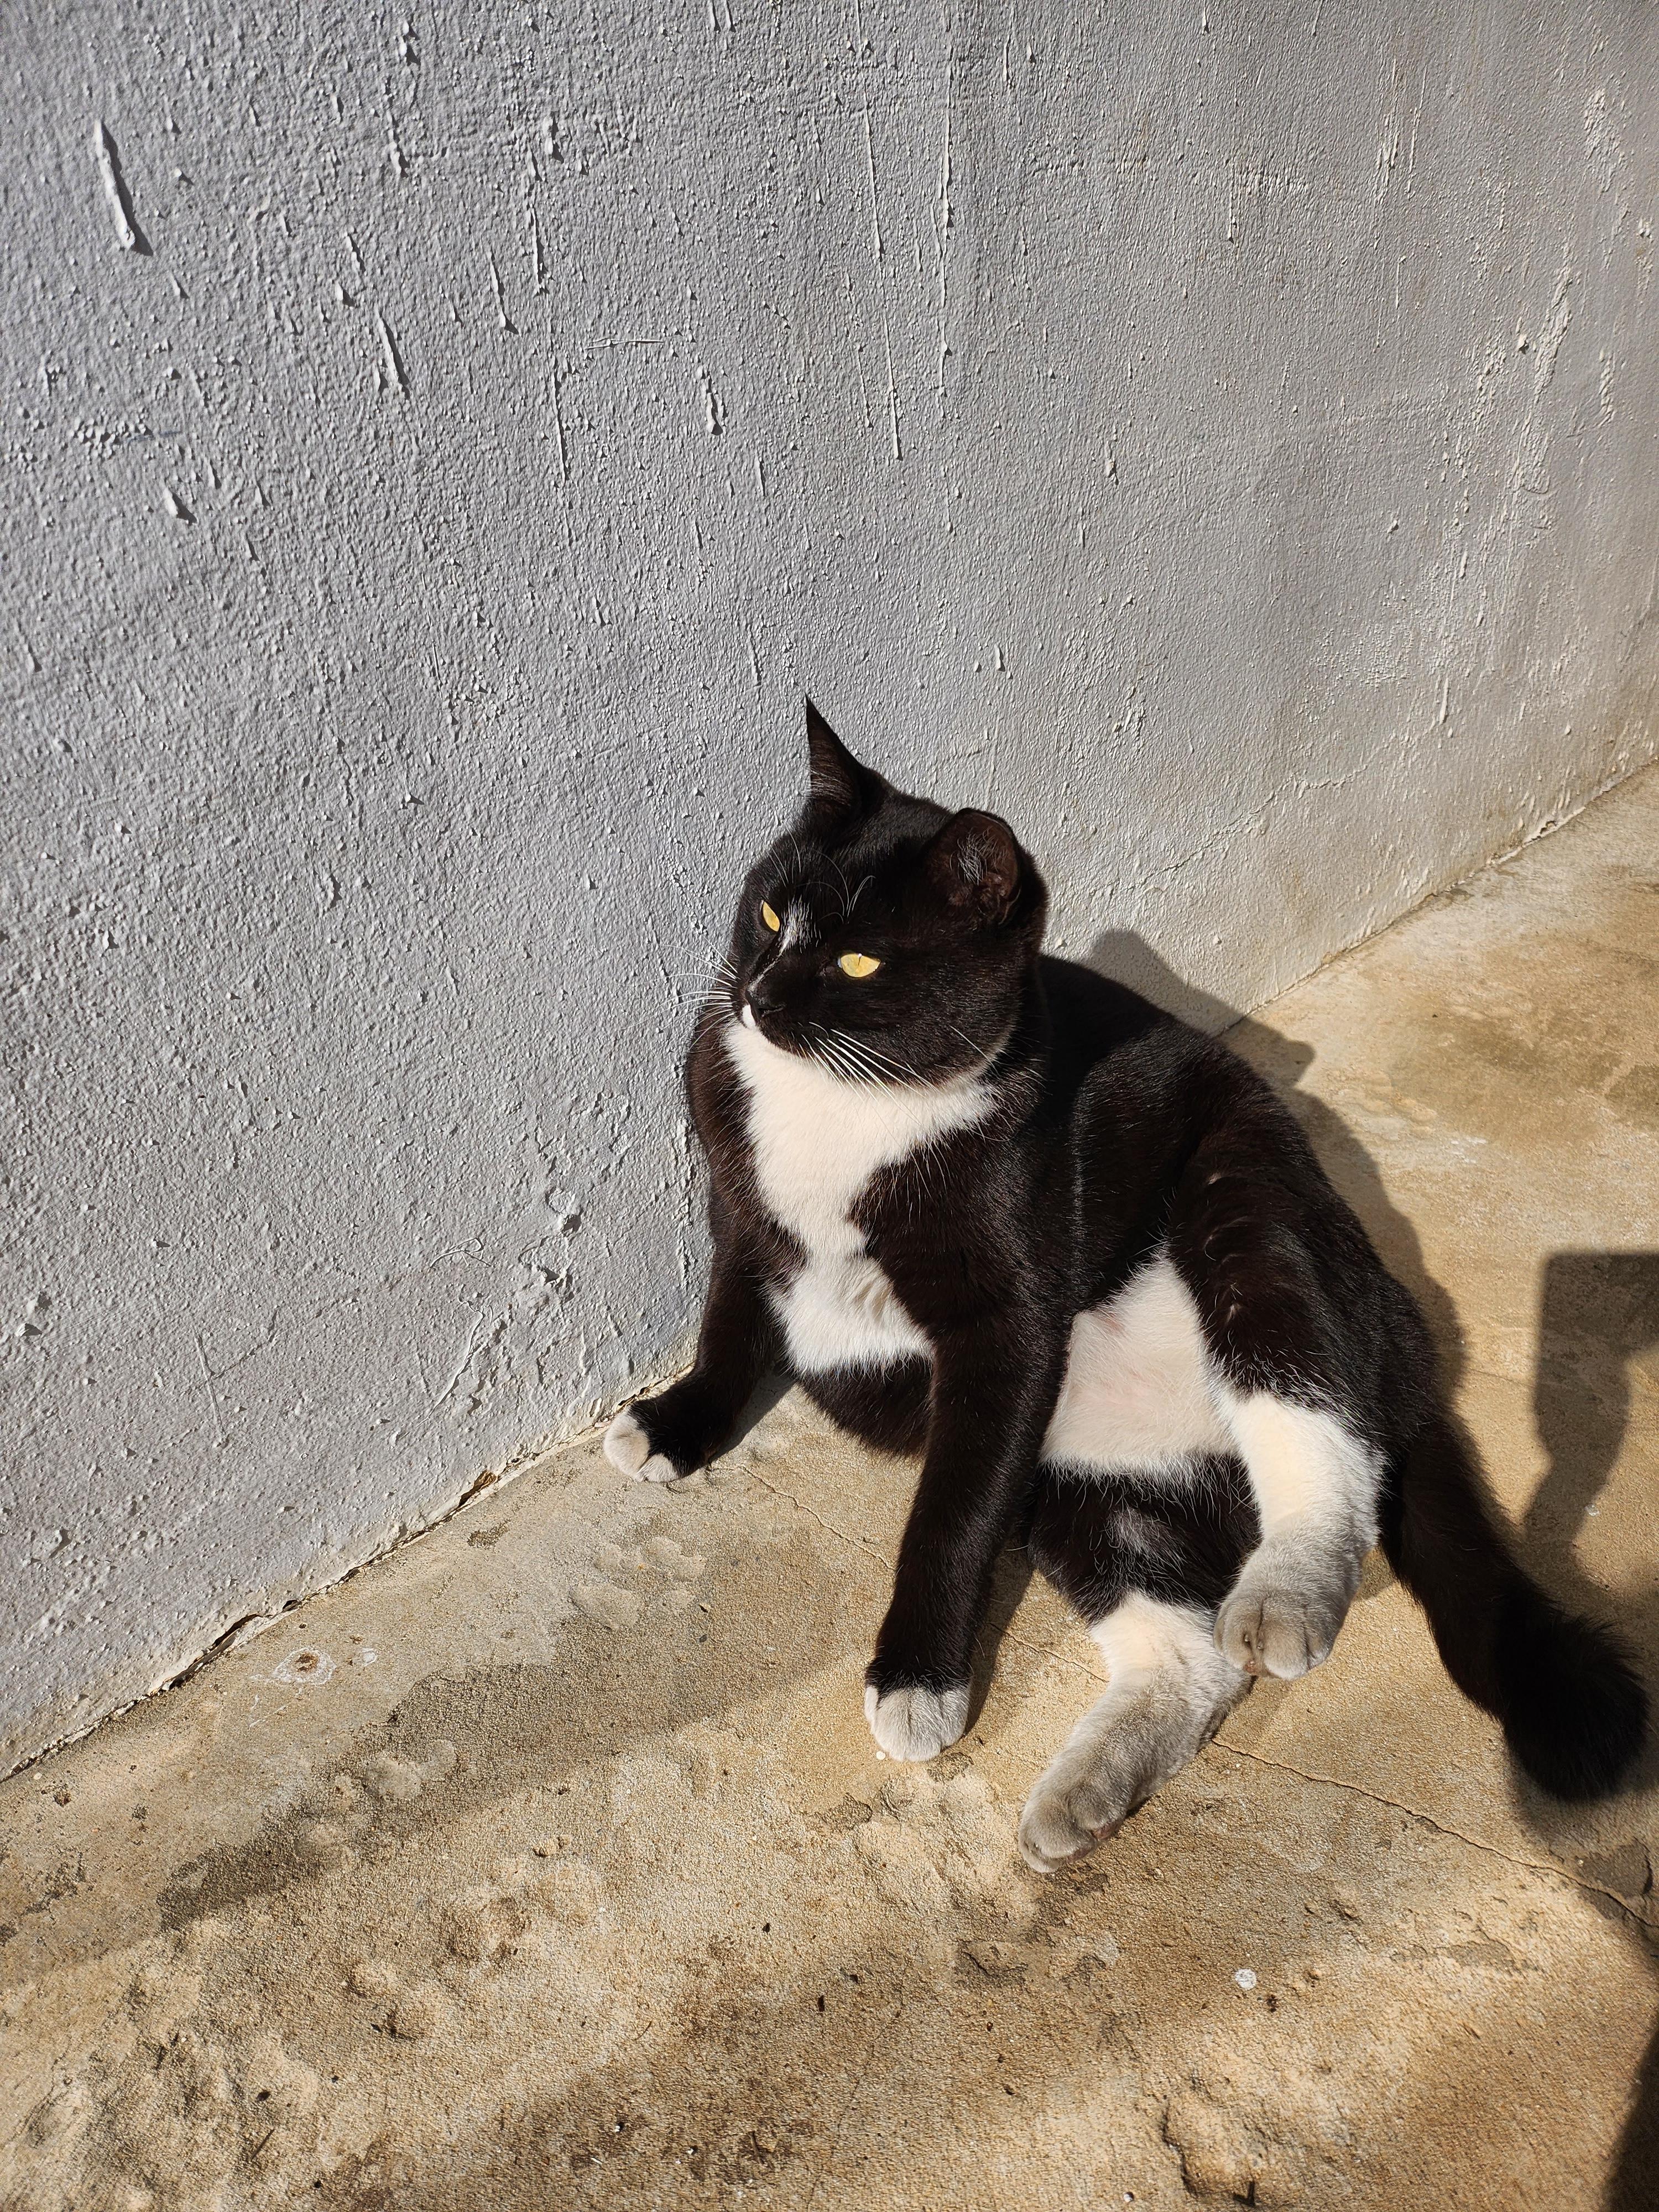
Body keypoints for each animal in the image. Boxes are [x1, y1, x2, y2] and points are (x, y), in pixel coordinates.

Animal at [605, 702, 1646, 1870]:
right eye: (772, 909)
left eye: (863, 960)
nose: (758, 995)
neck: (838, 1110)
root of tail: (1409, 1356)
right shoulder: (742, 1214)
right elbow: (730, 1326)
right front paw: (674, 1425)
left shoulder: (1007, 1329)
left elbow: (949, 1515)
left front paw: (918, 1680)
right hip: (1078, 1484)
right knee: (1190, 1653)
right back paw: (1086, 1793)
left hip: (1251, 1200)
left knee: (1321, 1419)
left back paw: (1287, 1598)